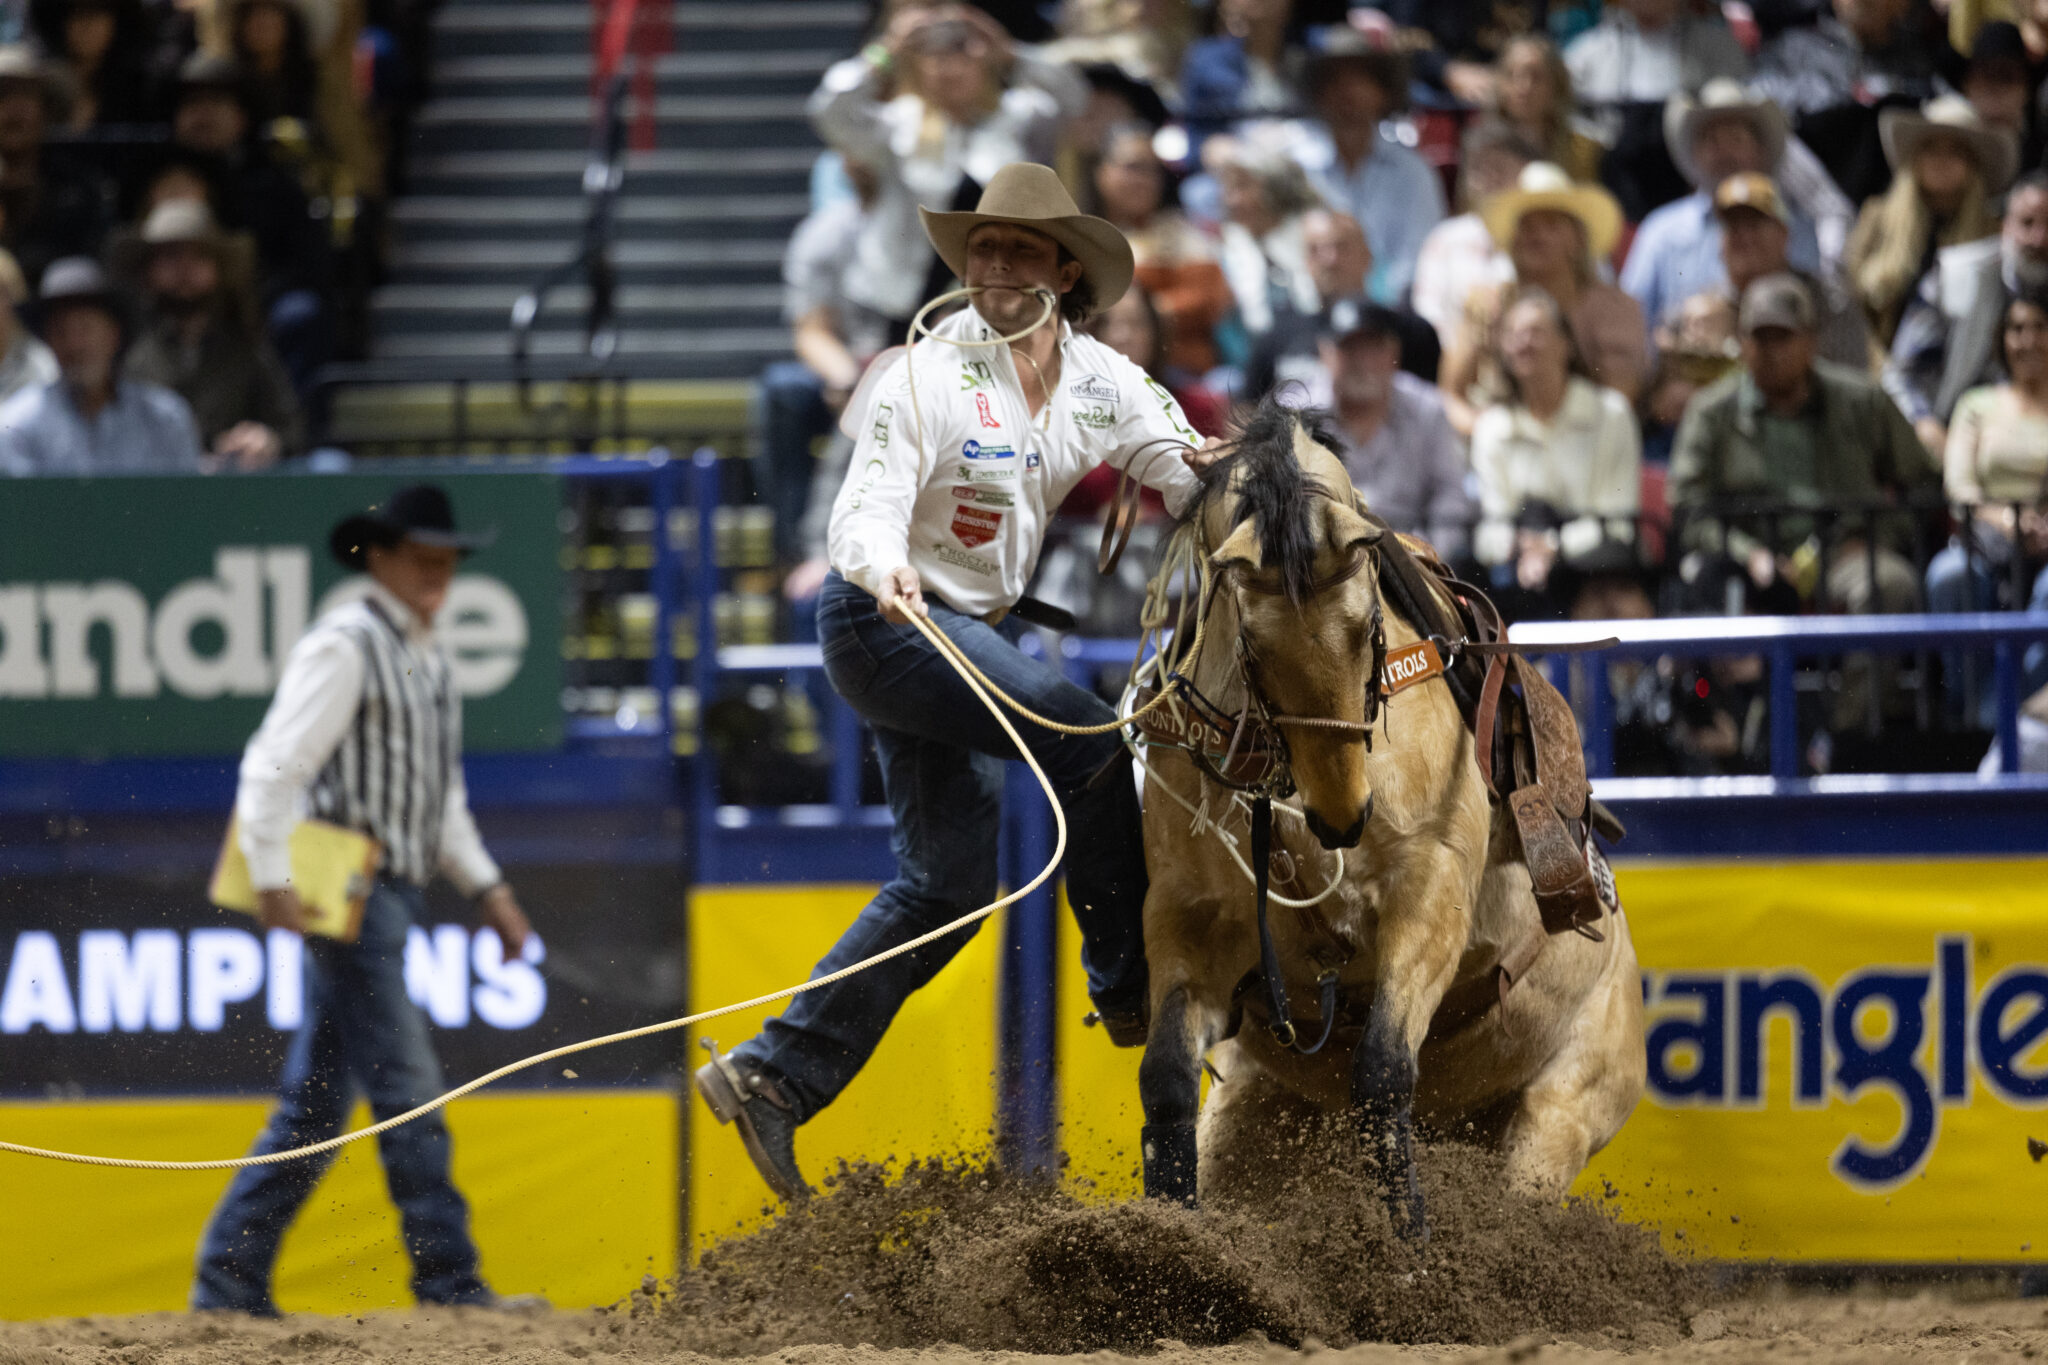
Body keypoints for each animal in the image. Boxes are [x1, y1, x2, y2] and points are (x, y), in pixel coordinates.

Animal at [1130, 403, 1638, 1236]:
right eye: (1252, 639)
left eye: (1369, 620)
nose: (1344, 811)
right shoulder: (1186, 913)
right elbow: (1166, 1075)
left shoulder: (1428, 892)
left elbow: (1383, 1072)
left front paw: (1407, 1242)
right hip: (1253, 1112)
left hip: (1559, 1116)